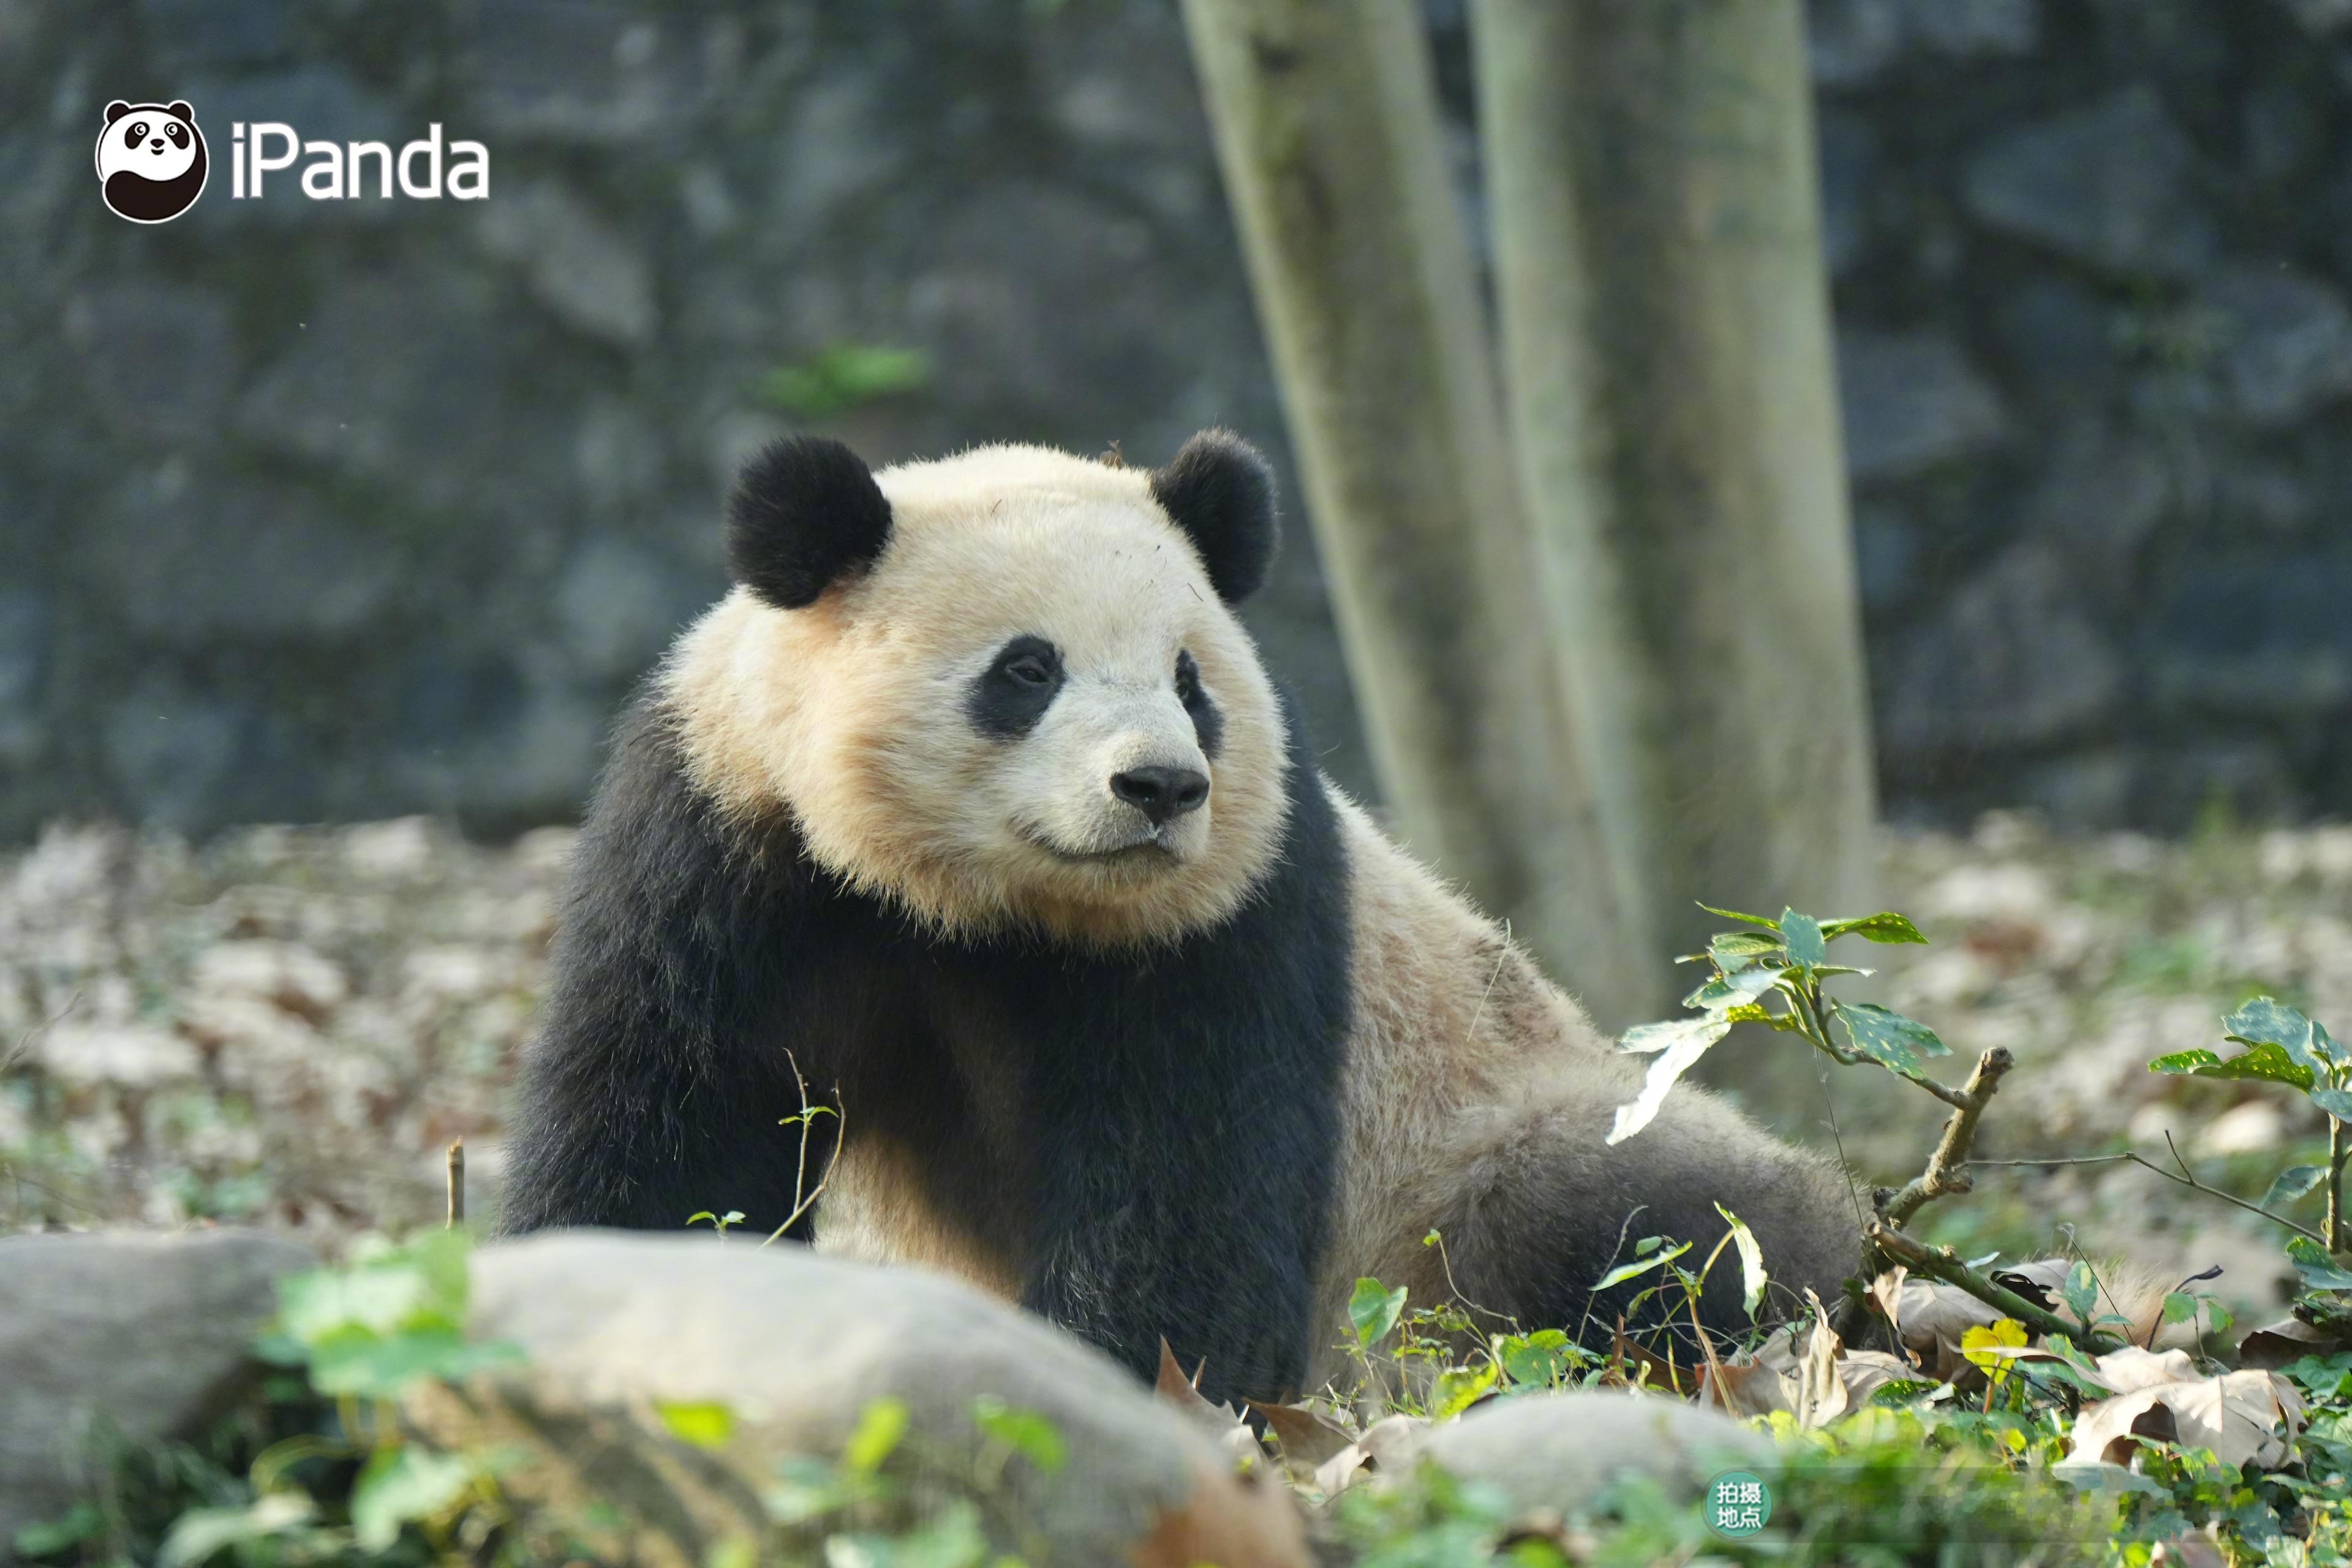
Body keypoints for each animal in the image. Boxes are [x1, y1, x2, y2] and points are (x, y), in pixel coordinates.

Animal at [505, 430, 1863, 1401]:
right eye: (1028, 668)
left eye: (1190, 679)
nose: (1158, 787)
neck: (975, 904)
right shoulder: (730, 839)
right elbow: (674, 1115)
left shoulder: (1232, 904)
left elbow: (1183, 1185)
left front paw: (1128, 1380)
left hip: (1481, 1167)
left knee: (1653, 1222)